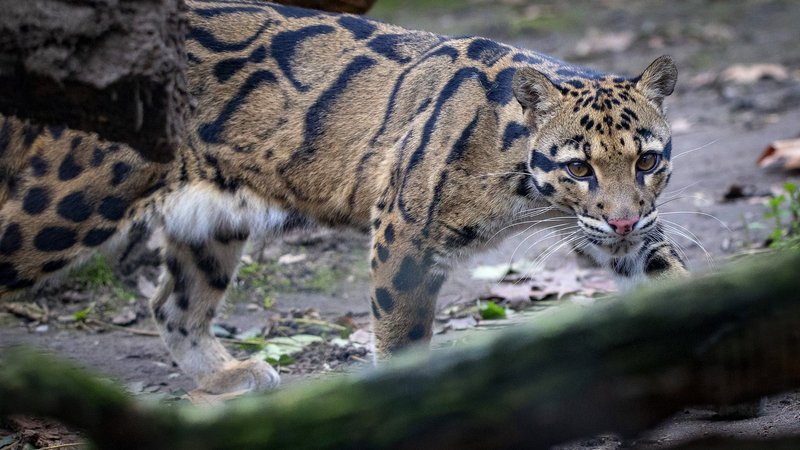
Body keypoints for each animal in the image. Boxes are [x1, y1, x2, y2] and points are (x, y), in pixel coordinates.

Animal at [0, 0, 687, 394]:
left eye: (647, 160)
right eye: (579, 168)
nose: (623, 221)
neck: (526, 184)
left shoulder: (622, 232)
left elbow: (668, 276)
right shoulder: (406, 233)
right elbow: (401, 337)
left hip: (211, 221)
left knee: (173, 303)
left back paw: (227, 376)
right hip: (61, 206)